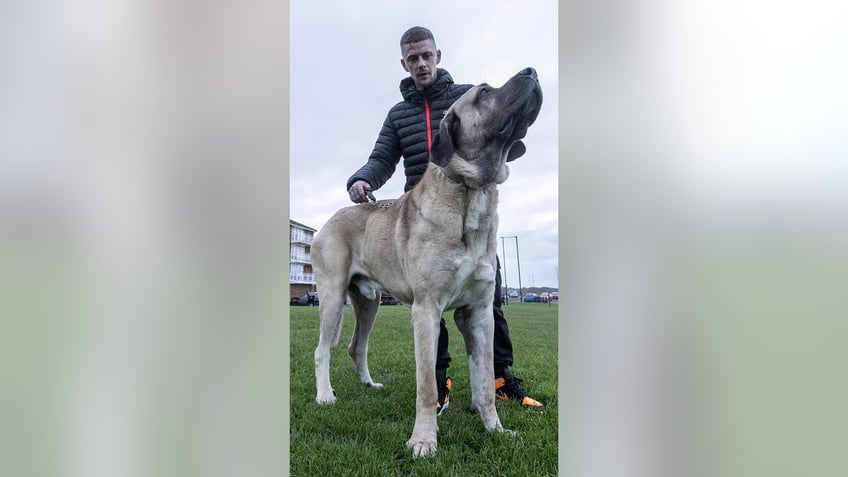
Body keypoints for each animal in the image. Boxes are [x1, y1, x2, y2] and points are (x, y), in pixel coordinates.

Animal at [312, 67, 544, 458]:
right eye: (484, 92)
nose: (532, 71)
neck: (471, 191)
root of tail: (328, 219)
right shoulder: (426, 310)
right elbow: (427, 386)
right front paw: (423, 440)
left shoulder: (480, 313)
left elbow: (484, 382)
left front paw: (495, 430)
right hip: (331, 296)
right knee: (321, 350)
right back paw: (325, 395)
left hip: (369, 302)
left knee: (356, 346)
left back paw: (369, 384)